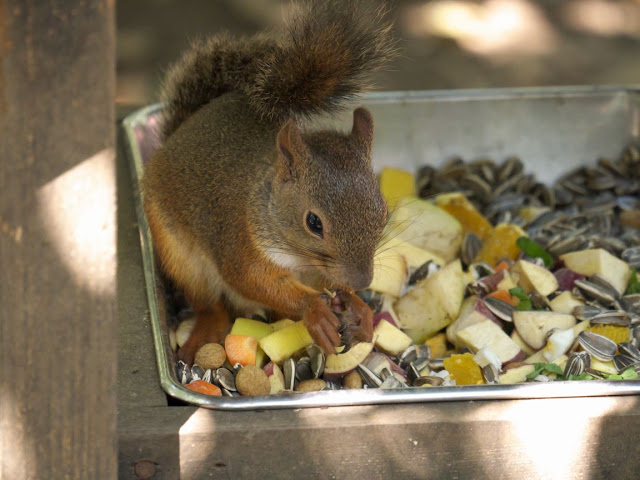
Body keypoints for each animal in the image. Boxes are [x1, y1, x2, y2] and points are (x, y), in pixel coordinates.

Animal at [142, 0, 398, 362]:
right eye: (314, 223)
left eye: (382, 212)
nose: (363, 281)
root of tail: (177, 135)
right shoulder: (240, 242)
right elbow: (254, 280)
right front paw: (315, 311)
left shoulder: (320, 270)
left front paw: (358, 307)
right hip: (180, 256)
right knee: (209, 305)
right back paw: (207, 329)